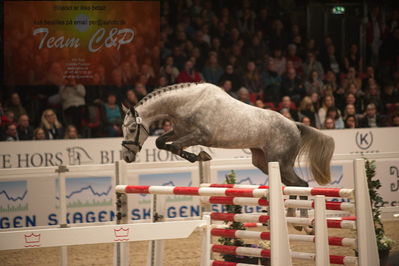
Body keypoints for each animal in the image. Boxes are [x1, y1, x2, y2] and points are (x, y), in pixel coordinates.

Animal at [122, 82, 334, 230]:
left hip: (280, 162)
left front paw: (201, 156)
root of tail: (295, 125)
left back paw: (300, 222)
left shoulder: (200, 135)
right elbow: (161, 143)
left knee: (301, 184)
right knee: (291, 185)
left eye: (132, 128)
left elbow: (174, 147)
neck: (186, 103)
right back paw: (292, 218)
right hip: (265, 161)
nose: (126, 156)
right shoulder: (179, 132)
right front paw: (199, 156)